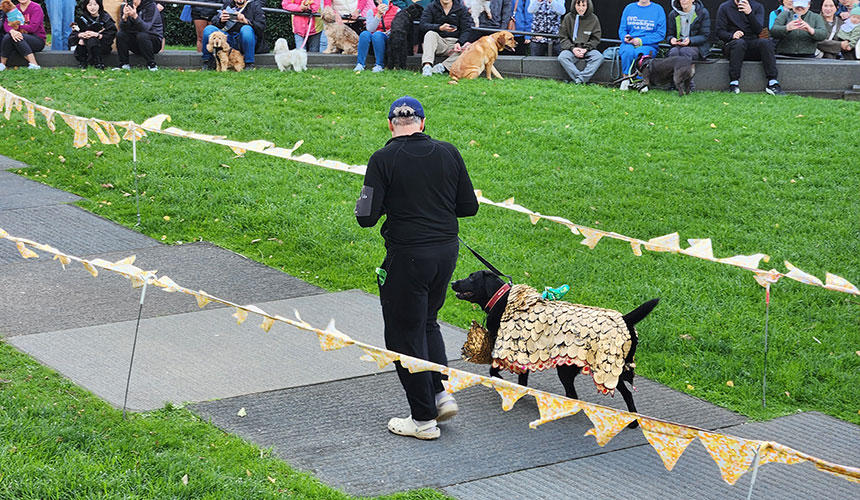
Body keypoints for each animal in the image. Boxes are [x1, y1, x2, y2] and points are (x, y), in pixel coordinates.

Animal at [450, 270, 660, 422]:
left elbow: (494, 371)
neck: (502, 299)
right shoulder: (524, 353)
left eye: (471, 277)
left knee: (574, 396)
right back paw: (633, 421)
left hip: (582, 370)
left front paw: (502, 382)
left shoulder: (507, 348)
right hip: (612, 370)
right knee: (626, 393)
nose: (453, 282)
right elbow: (522, 379)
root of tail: (623, 319)